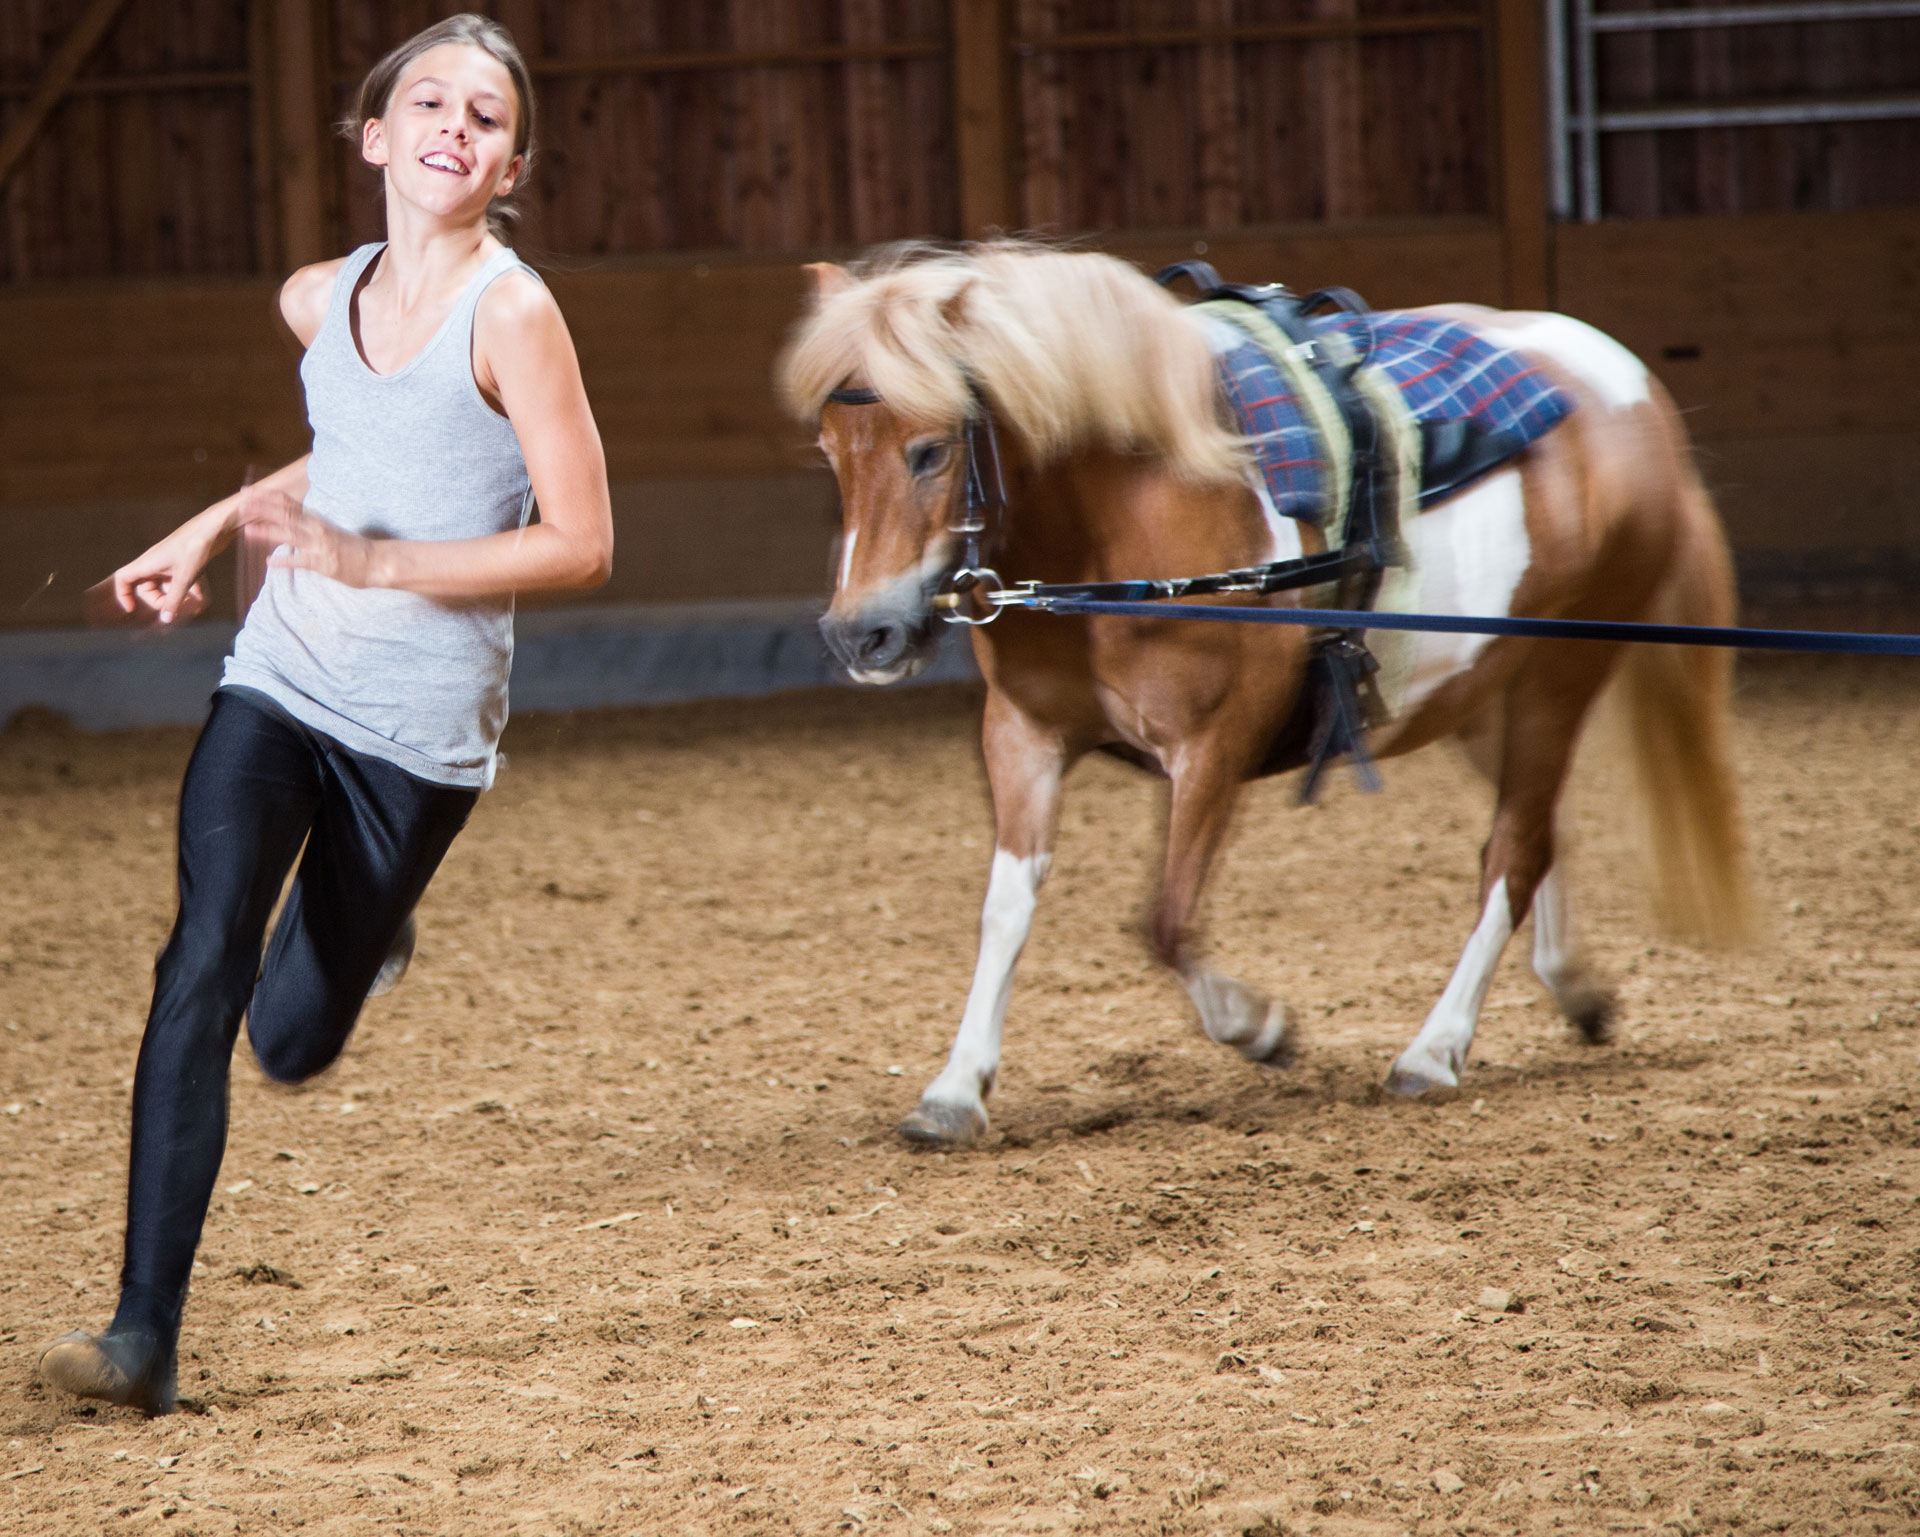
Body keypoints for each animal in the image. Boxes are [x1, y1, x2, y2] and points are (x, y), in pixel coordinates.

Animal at [771, 239, 1751, 1143]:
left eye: (931, 450)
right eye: (829, 450)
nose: (861, 634)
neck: (1120, 519)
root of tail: (1635, 393)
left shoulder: (1213, 745)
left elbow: (1165, 921)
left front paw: (1259, 1025)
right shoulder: (1024, 735)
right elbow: (1005, 909)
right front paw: (954, 1088)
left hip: (1558, 675)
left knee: (1514, 849)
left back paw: (1433, 1050)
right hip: (1480, 691)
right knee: (1543, 831)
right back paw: (1572, 990)